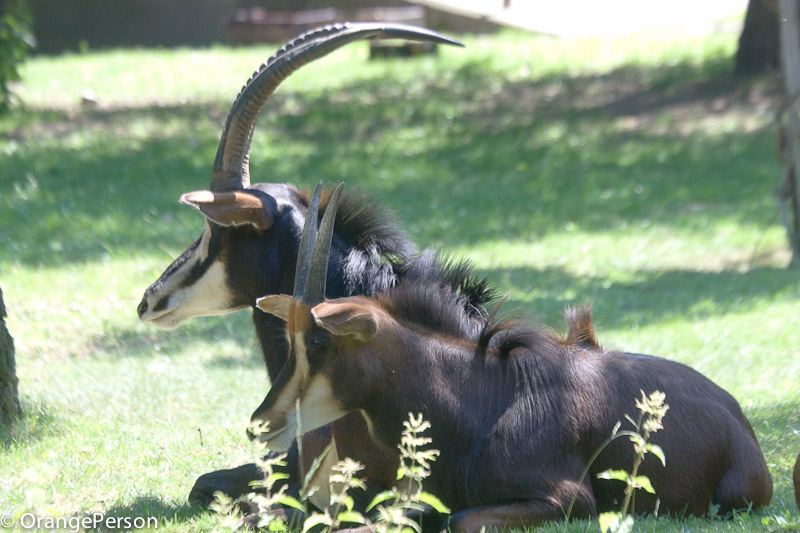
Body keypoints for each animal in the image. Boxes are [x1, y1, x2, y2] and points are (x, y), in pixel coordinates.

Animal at [254, 185, 774, 531]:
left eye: (320, 342)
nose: (260, 424)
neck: (480, 400)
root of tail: (738, 416)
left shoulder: (568, 499)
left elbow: (459, 521)